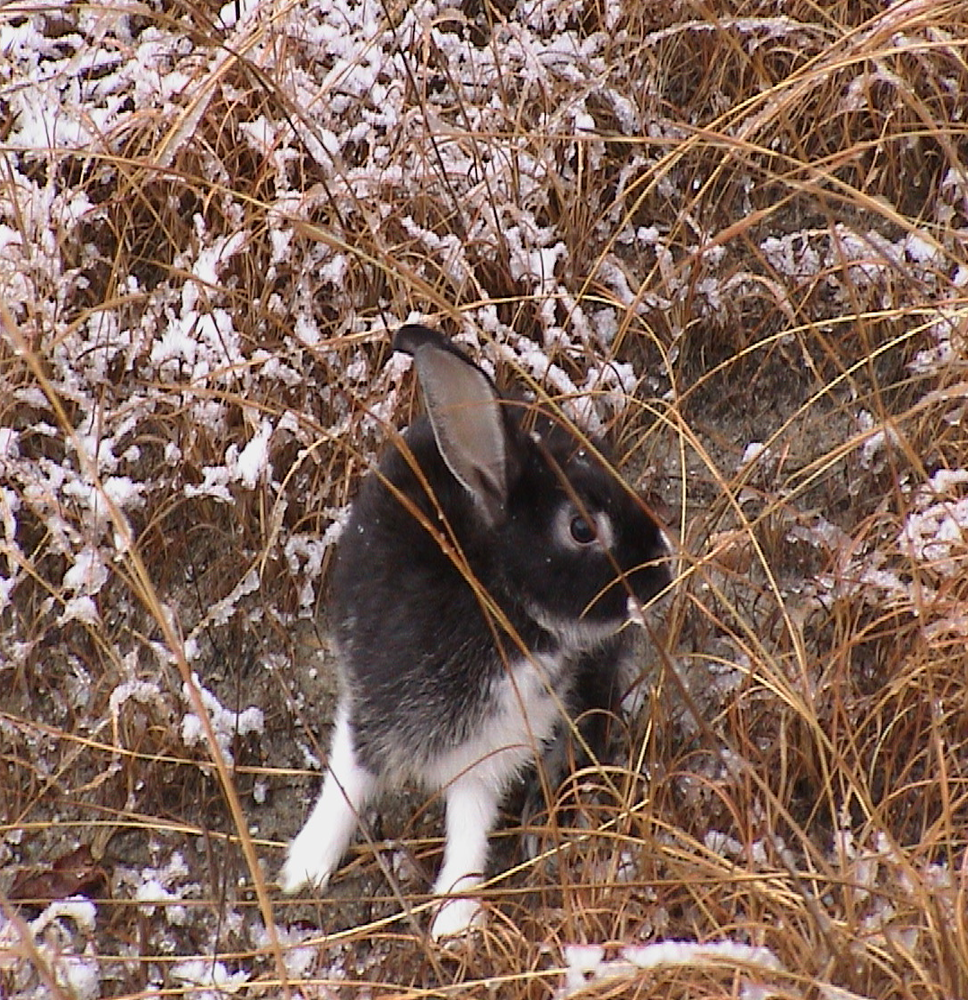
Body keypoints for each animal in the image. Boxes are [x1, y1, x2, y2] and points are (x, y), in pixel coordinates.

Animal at [280, 322, 672, 936]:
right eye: (582, 528)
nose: (662, 566)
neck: (495, 594)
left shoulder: (492, 745)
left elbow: (469, 821)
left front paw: (454, 918)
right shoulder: (372, 705)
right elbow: (349, 779)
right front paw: (305, 867)